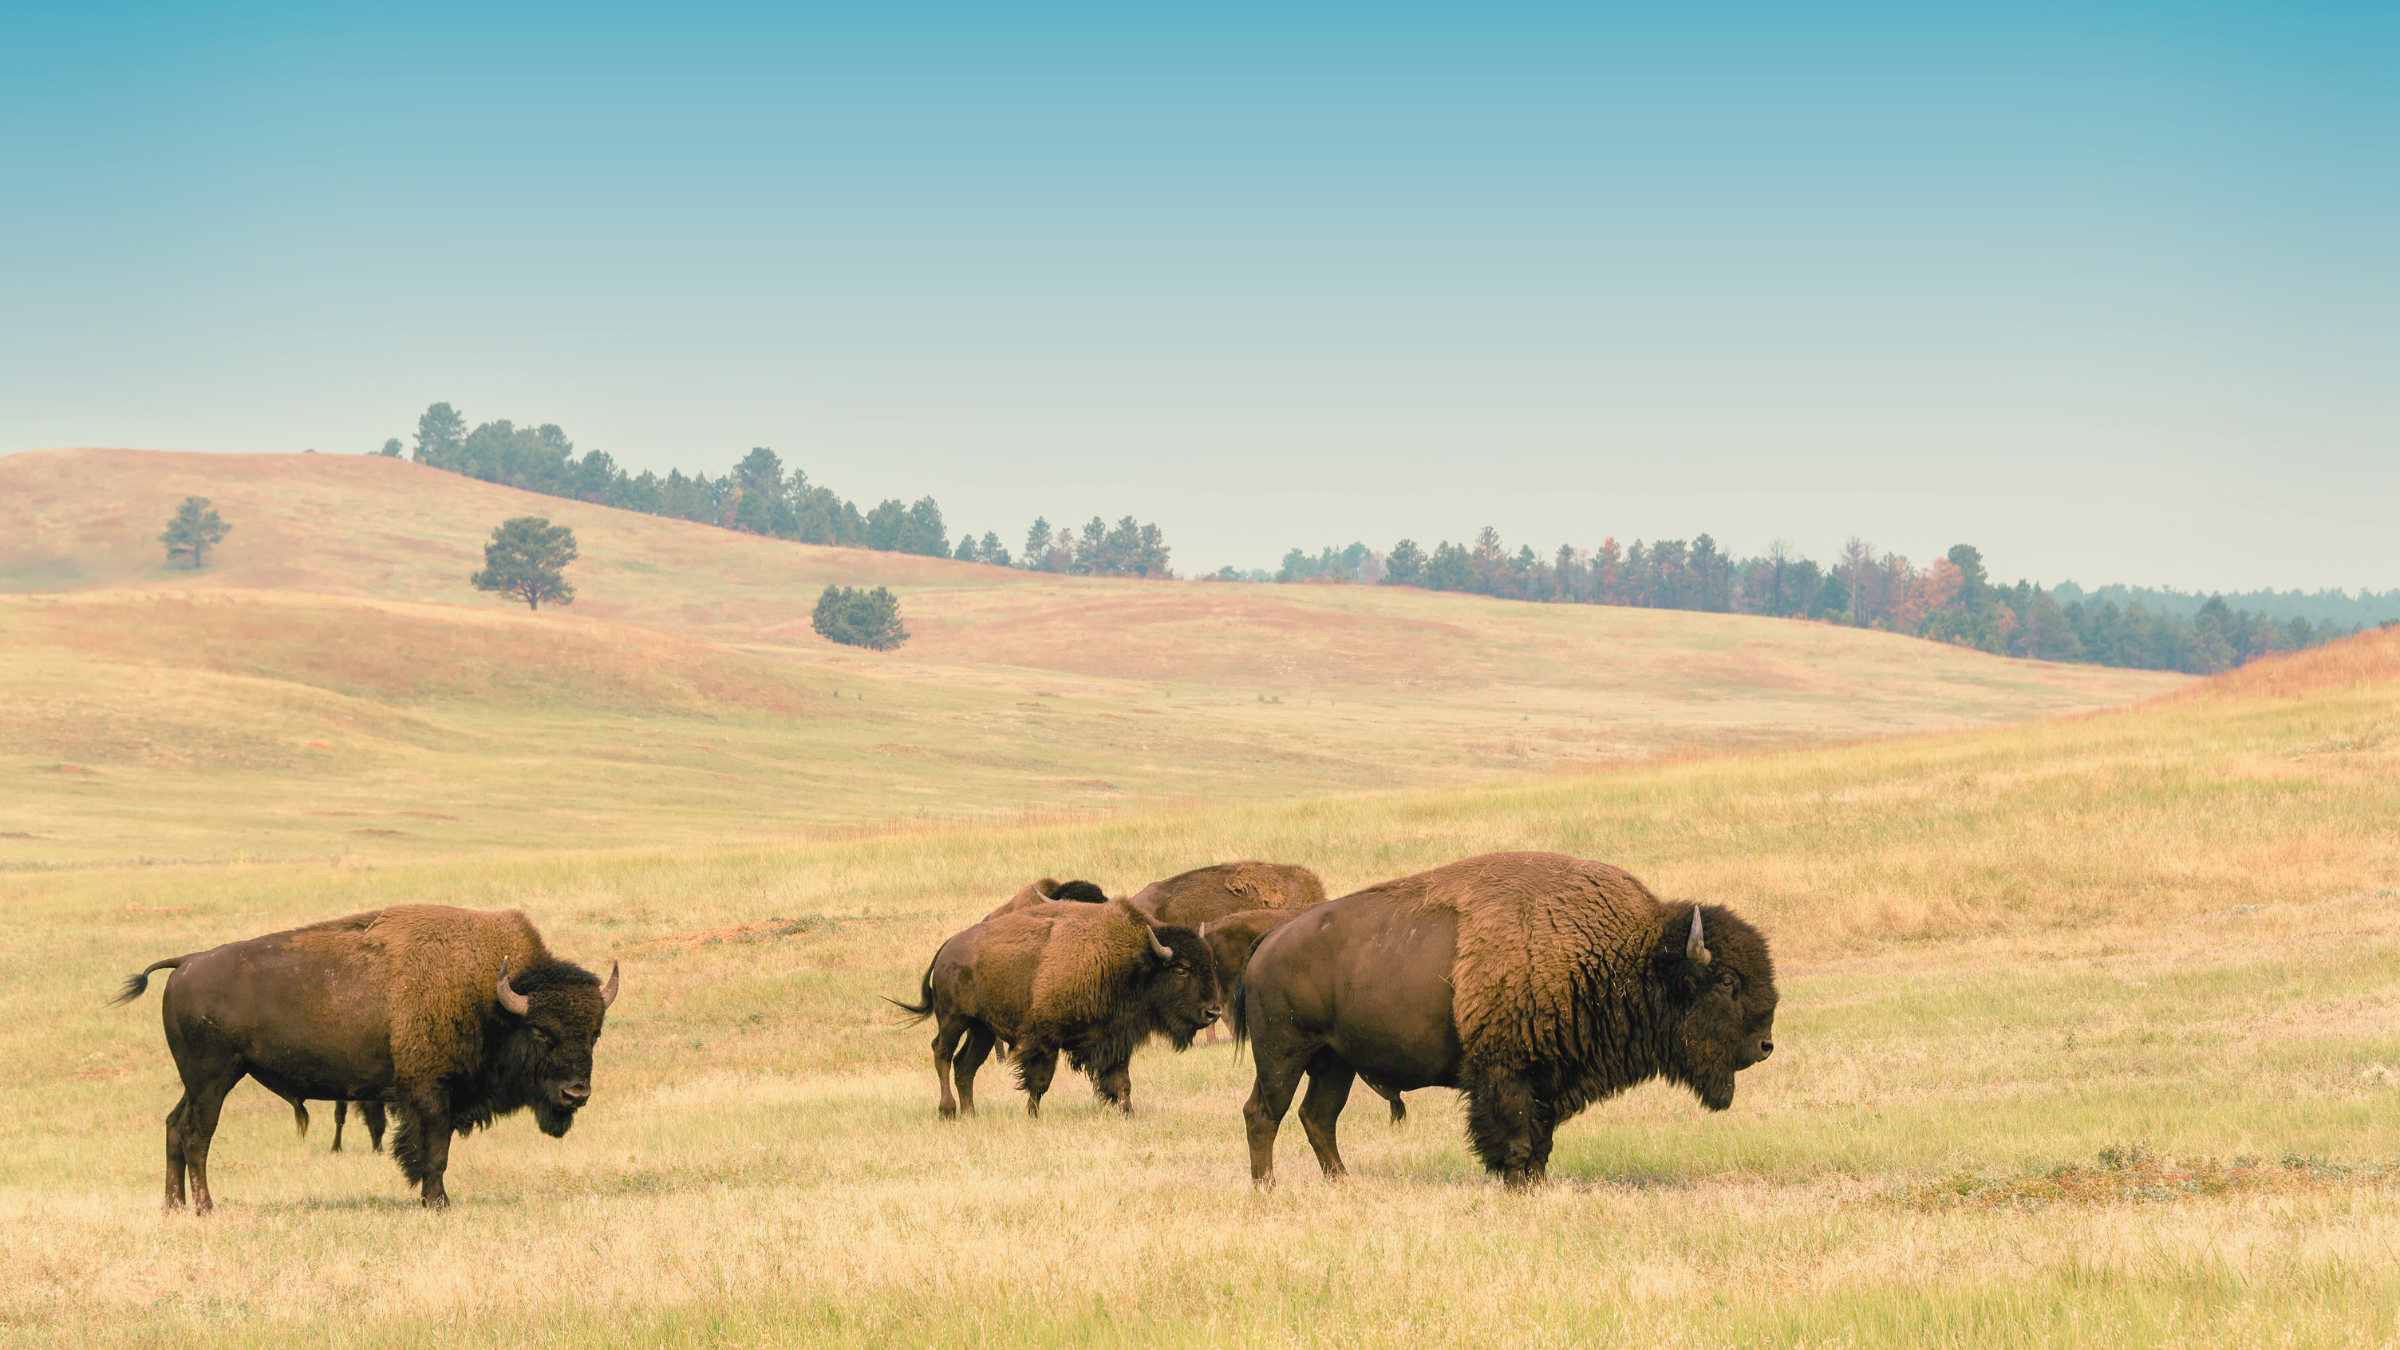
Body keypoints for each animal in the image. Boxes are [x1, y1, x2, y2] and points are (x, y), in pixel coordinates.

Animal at [113, 905, 618, 1212]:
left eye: (595, 1033)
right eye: (541, 1031)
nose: (576, 1093)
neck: (491, 998)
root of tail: (186, 962)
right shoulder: (431, 1094)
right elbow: (436, 1152)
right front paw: (438, 1203)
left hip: (197, 1082)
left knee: (174, 1127)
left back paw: (173, 1207)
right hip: (213, 1080)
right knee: (196, 1136)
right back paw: (205, 1208)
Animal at [891, 896, 1223, 1118]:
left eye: (1210, 963)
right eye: (1181, 970)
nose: (1213, 1012)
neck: (1129, 962)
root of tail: (946, 949)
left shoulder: (1115, 1040)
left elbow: (1121, 1082)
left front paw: (1129, 1114)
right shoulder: (1044, 1040)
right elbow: (1040, 1082)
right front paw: (1032, 1115)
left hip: (982, 1029)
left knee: (965, 1065)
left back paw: (971, 1115)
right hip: (953, 1019)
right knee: (942, 1054)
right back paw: (948, 1111)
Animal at [1236, 852, 1777, 1188]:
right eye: (1727, 981)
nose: (1765, 1045)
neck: (1621, 953)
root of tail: (1270, 939)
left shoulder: (1549, 1079)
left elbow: (1542, 1140)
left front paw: (1537, 1184)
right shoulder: (1505, 1073)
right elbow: (1515, 1138)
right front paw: (1518, 1185)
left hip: (1335, 1062)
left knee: (1317, 1117)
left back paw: (1343, 1184)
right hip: (1283, 1054)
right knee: (1264, 1113)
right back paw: (1267, 1190)